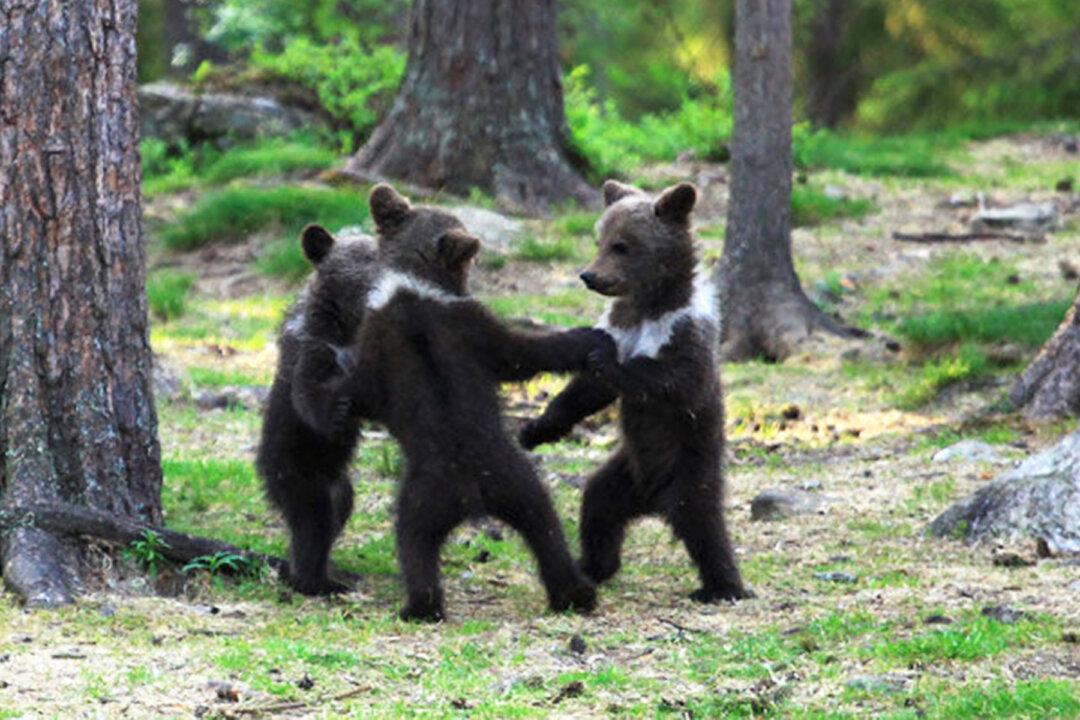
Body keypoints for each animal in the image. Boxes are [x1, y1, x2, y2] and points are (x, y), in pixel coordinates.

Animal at [256, 224, 377, 596]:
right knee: (313, 521)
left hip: (339, 483)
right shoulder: (314, 352)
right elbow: (310, 397)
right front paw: (338, 417)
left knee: (337, 511)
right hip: (296, 469)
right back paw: (319, 581)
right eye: (365, 258)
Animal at [316, 184, 616, 621]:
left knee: (415, 543)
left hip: (437, 495)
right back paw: (574, 593)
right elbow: (522, 353)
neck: (413, 282)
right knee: (542, 527)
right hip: (509, 485)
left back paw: (419, 606)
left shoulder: (423, 333)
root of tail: (472, 492)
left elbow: (521, 353)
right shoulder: (455, 331)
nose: (476, 250)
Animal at [519, 180, 751, 603]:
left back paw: (722, 586)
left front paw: (607, 361)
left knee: (702, 521)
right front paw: (535, 429)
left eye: (622, 245)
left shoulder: (686, 331)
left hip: (689, 466)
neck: (650, 303)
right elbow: (586, 392)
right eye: (599, 239)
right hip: (625, 472)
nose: (589, 275)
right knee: (598, 506)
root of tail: (653, 500)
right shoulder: (621, 324)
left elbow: (673, 380)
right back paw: (594, 565)